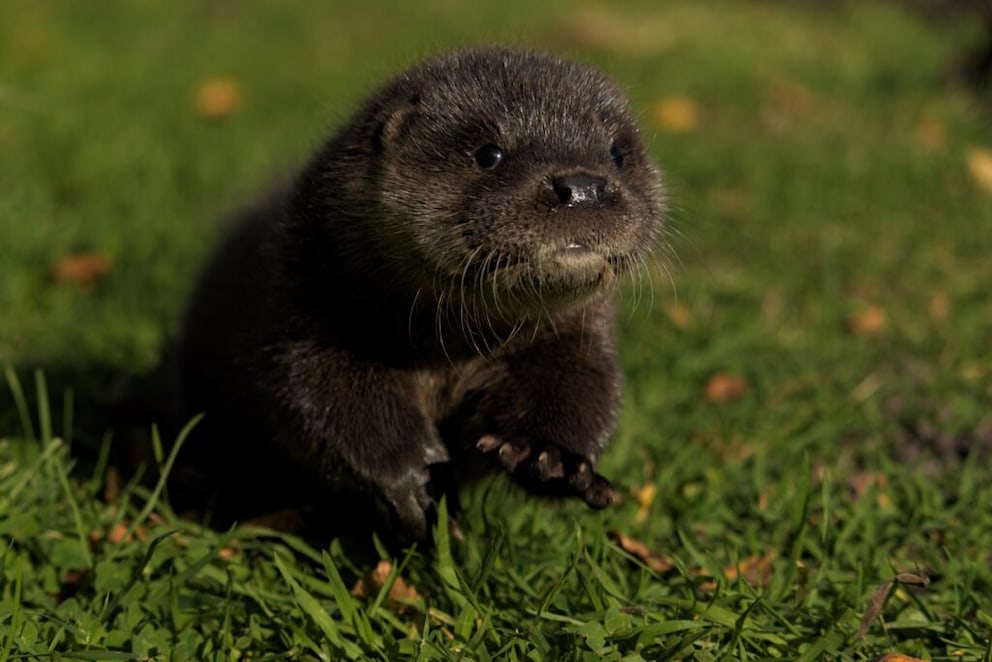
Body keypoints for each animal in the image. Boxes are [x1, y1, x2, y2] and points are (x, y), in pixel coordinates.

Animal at [177, 47, 666, 545]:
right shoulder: (305, 302)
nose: (582, 187)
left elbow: (583, 385)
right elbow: (322, 392)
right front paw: (408, 477)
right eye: (489, 153)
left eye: (616, 153)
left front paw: (551, 456)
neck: (449, 356)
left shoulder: (574, 335)